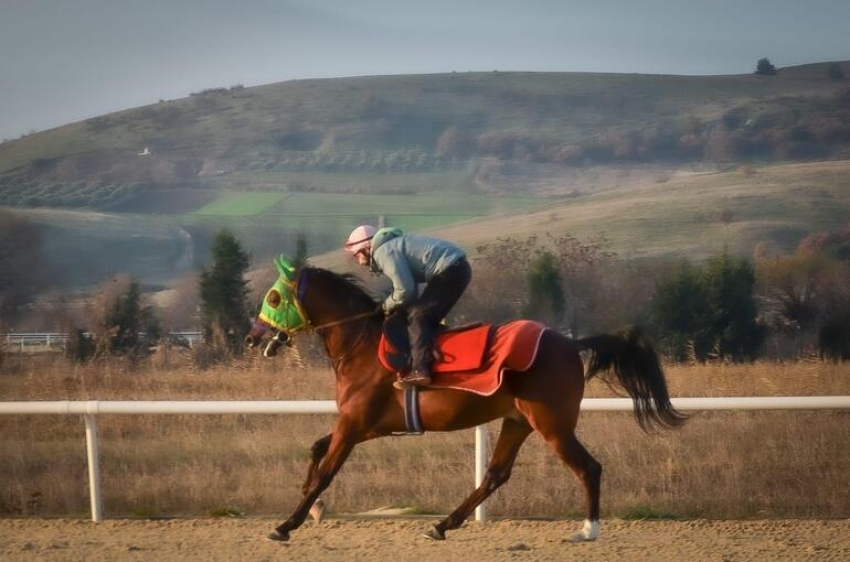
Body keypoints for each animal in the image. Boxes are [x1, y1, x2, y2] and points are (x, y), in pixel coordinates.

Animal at [243, 256, 684, 540]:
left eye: (273, 298)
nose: (251, 337)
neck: (362, 344)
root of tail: (571, 343)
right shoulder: (365, 425)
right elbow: (316, 451)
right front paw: (308, 505)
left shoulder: (354, 424)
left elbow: (325, 472)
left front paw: (286, 525)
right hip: (517, 421)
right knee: (494, 475)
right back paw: (441, 525)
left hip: (552, 423)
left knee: (588, 468)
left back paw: (588, 530)